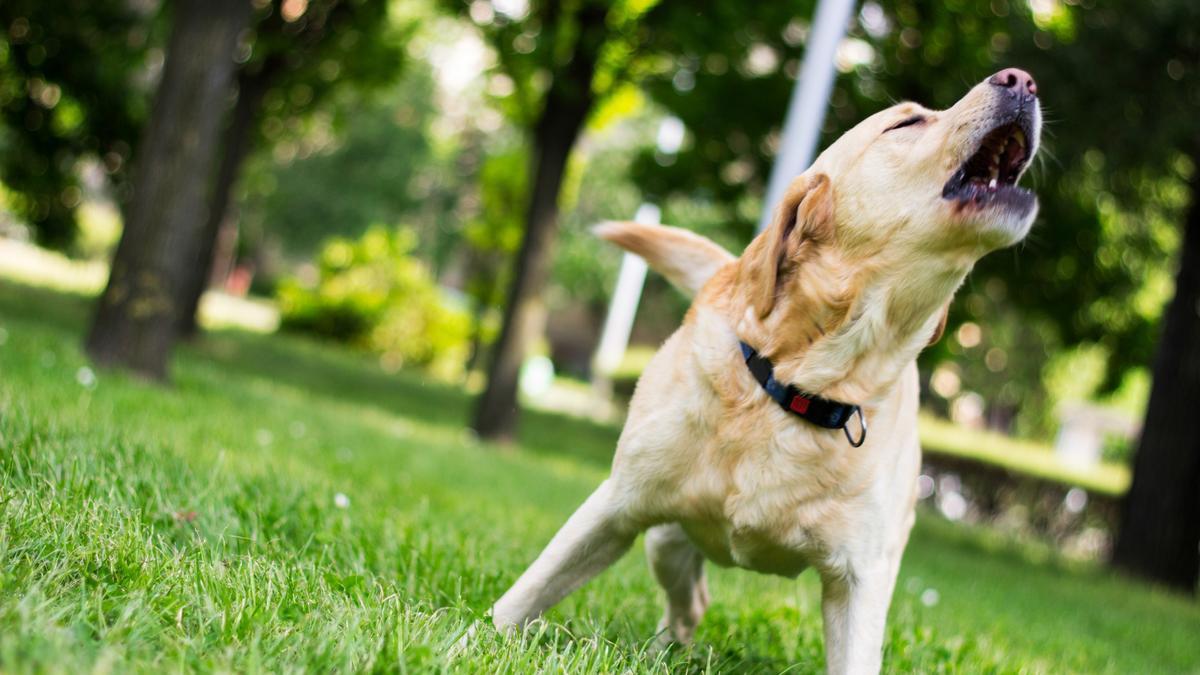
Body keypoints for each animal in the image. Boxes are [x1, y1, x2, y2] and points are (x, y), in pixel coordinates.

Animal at [487, 66, 1041, 667]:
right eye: (907, 122)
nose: (1022, 79)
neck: (800, 388)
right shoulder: (616, 505)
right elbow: (522, 597)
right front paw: (473, 639)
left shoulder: (861, 580)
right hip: (665, 538)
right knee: (688, 599)